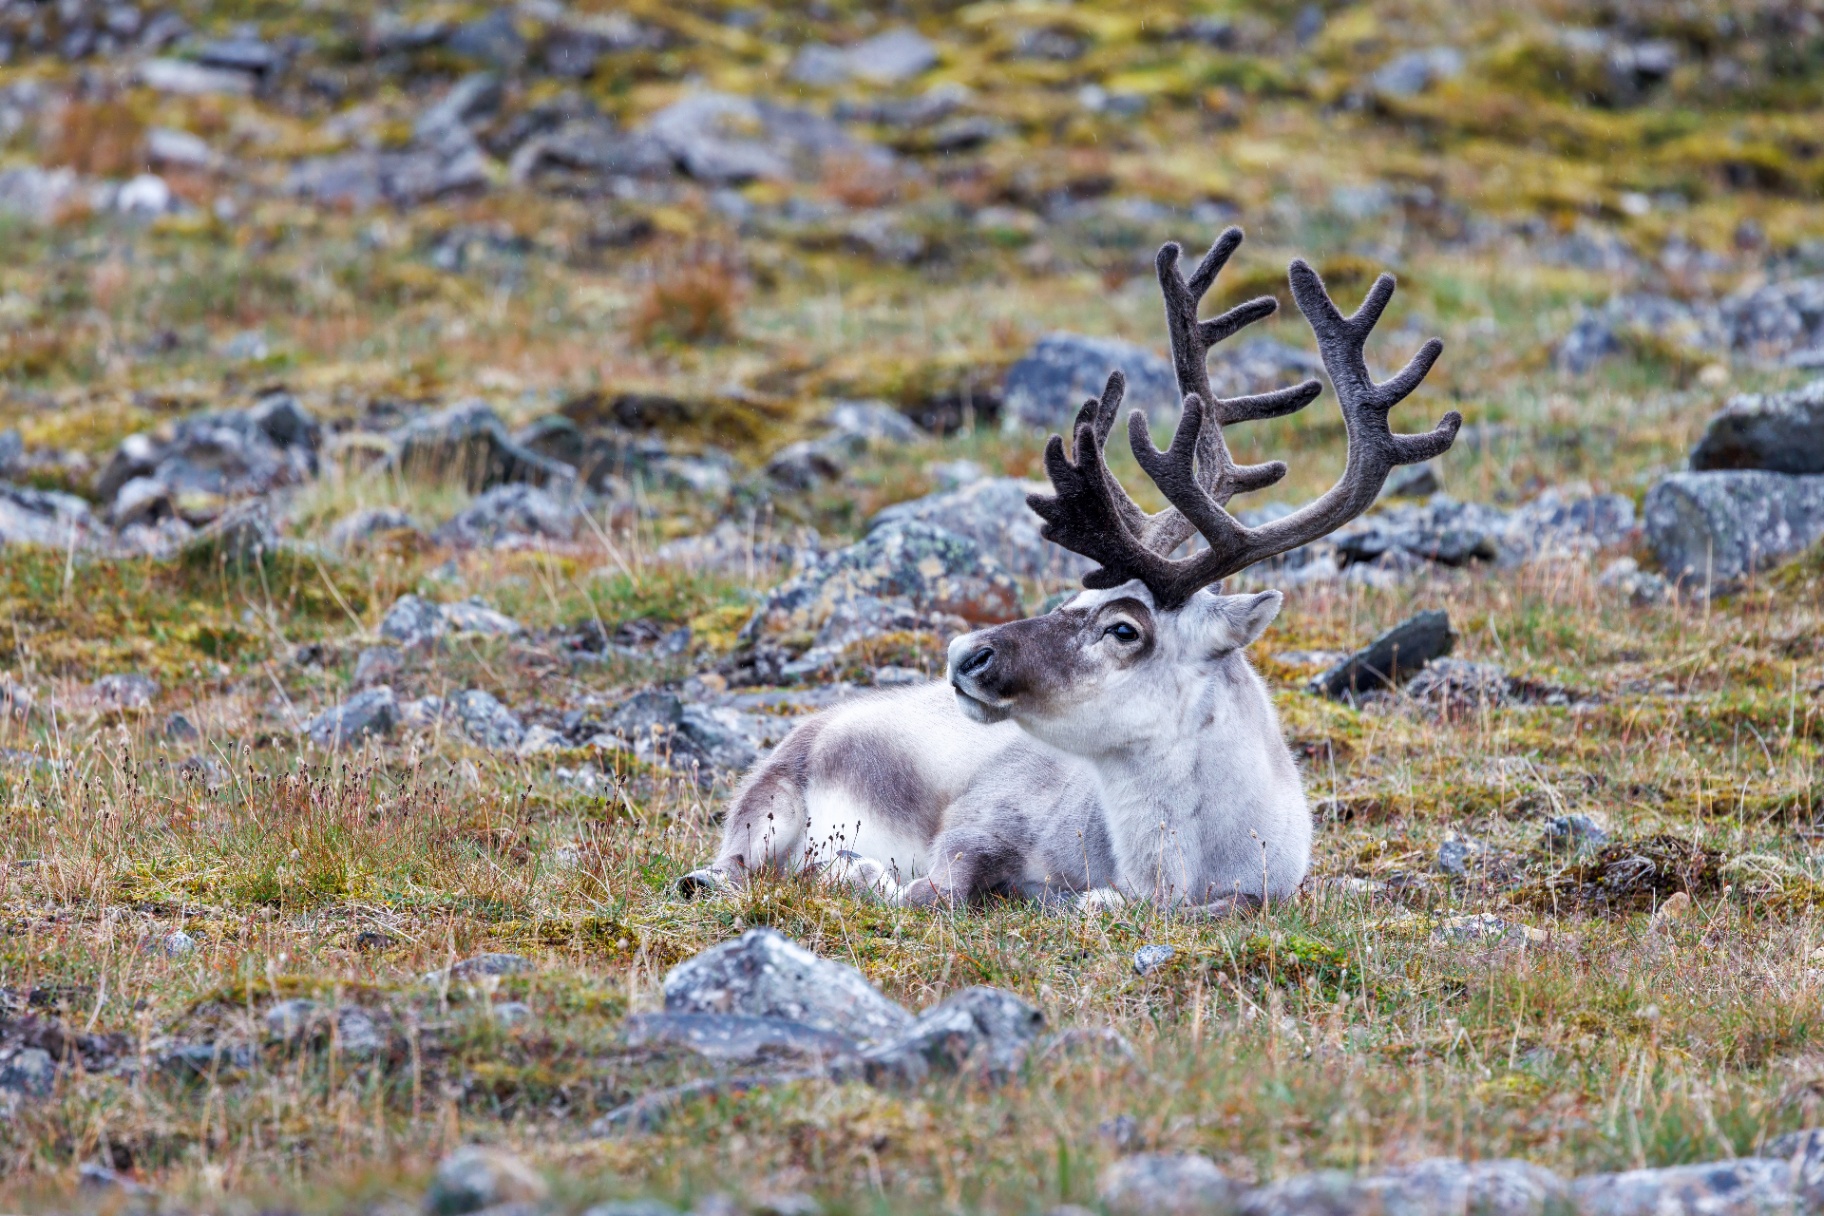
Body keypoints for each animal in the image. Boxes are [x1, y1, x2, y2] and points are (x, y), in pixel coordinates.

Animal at [678, 227, 1460, 916]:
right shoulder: (980, 819)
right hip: (766, 804)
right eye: (1071, 597)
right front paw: (860, 871)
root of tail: (819, 721)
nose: (965, 652)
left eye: (1124, 629)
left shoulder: (1265, 890)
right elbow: (934, 891)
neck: (1172, 871)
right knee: (721, 871)